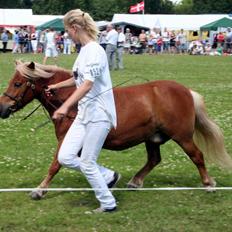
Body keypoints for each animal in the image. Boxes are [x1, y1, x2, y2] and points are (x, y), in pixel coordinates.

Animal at [0, 60, 232, 199]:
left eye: (18, 84)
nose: (2, 108)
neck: (73, 103)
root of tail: (186, 91)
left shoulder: (66, 142)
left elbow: (55, 165)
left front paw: (39, 190)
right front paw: (109, 179)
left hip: (182, 137)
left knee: (197, 156)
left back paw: (208, 183)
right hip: (152, 138)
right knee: (154, 160)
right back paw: (135, 182)